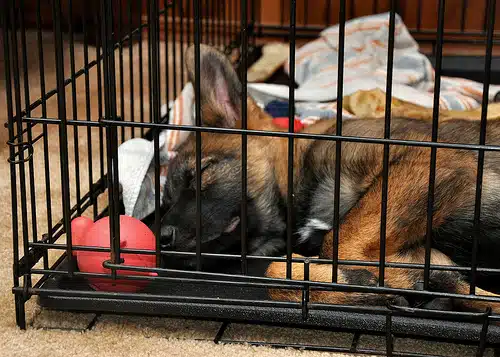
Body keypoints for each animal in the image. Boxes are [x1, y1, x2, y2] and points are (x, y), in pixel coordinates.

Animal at [159, 43, 500, 312]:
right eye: (165, 200)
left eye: (199, 173)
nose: (162, 237)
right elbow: (276, 273)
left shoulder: (435, 159)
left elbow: (336, 242)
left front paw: (377, 280)